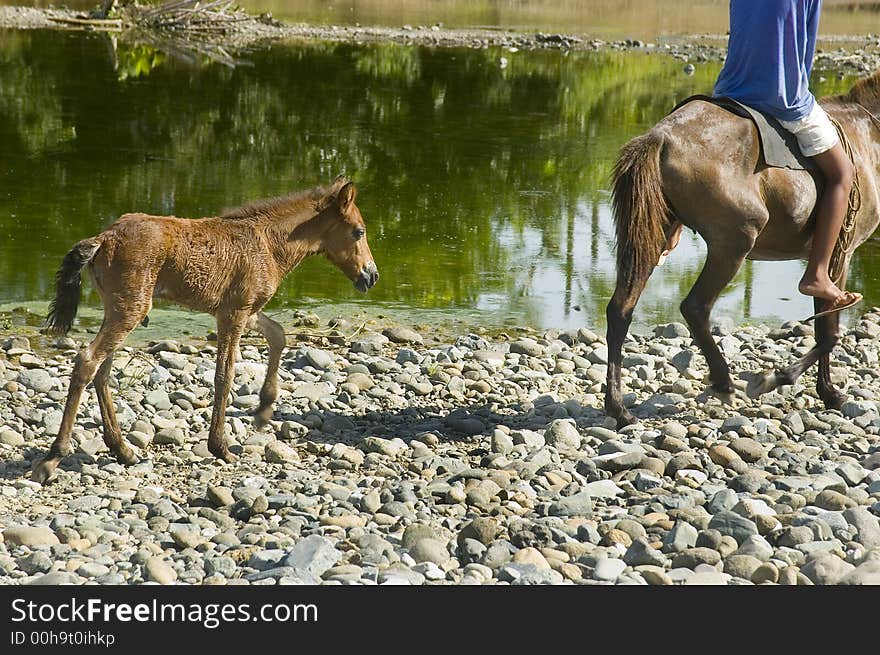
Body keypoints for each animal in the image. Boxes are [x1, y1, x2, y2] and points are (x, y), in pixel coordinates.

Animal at [33, 177, 378, 484]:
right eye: (358, 231)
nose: (371, 275)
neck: (268, 244)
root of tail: (103, 238)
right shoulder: (234, 312)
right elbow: (224, 375)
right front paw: (220, 447)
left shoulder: (245, 310)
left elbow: (278, 335)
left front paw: (264, 410)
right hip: (129, 309)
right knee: (88, 362)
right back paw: (53, 458)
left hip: (115, 308)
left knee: (102, 372)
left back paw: (122, 450)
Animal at [604, 74, 880, 428]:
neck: (868, 133)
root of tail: (661, 137)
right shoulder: (840, 256)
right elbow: (828, 332)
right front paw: (785, 381)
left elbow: (825, 329)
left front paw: (825, 391)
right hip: (733, 244)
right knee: (695, 308)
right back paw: (724, 383)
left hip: (653, 238)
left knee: (621, 309)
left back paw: (619, 408)